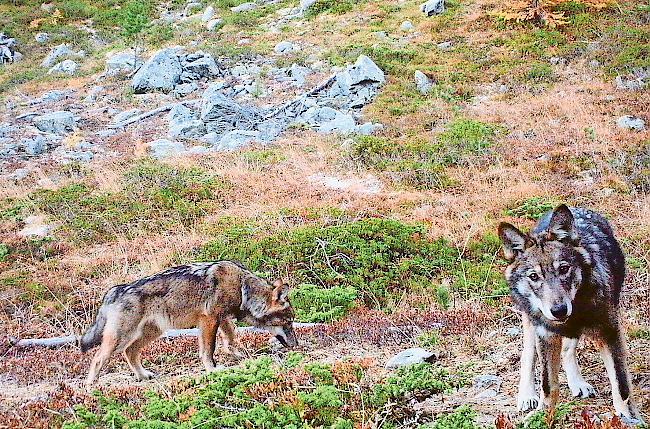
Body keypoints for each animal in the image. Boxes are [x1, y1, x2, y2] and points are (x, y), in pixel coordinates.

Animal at [79, 260, 298, 386]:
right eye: (288, 322)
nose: (296, 345)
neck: (242, 288)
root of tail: (114, 290)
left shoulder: (222, 318)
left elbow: (230, 339)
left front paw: (237, 355)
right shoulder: (209, 320)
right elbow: (208, 349)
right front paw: (213, 370)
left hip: (151, 333)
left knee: (130, 352)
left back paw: (143, 376)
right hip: (121, 338)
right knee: (97, 358)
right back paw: (91, 389)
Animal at [498, 205, 640, 422]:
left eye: (564, 269)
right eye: (534, 276)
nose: (558, 311)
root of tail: (576, 207)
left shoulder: (610, 333)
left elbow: (621, 384)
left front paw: (628, 418)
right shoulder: (546, 336)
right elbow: (548, 386)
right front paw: (542, 417)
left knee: (567, 350)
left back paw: (578, 384)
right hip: (531, 323)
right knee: (527, 355)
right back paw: (527, 396)